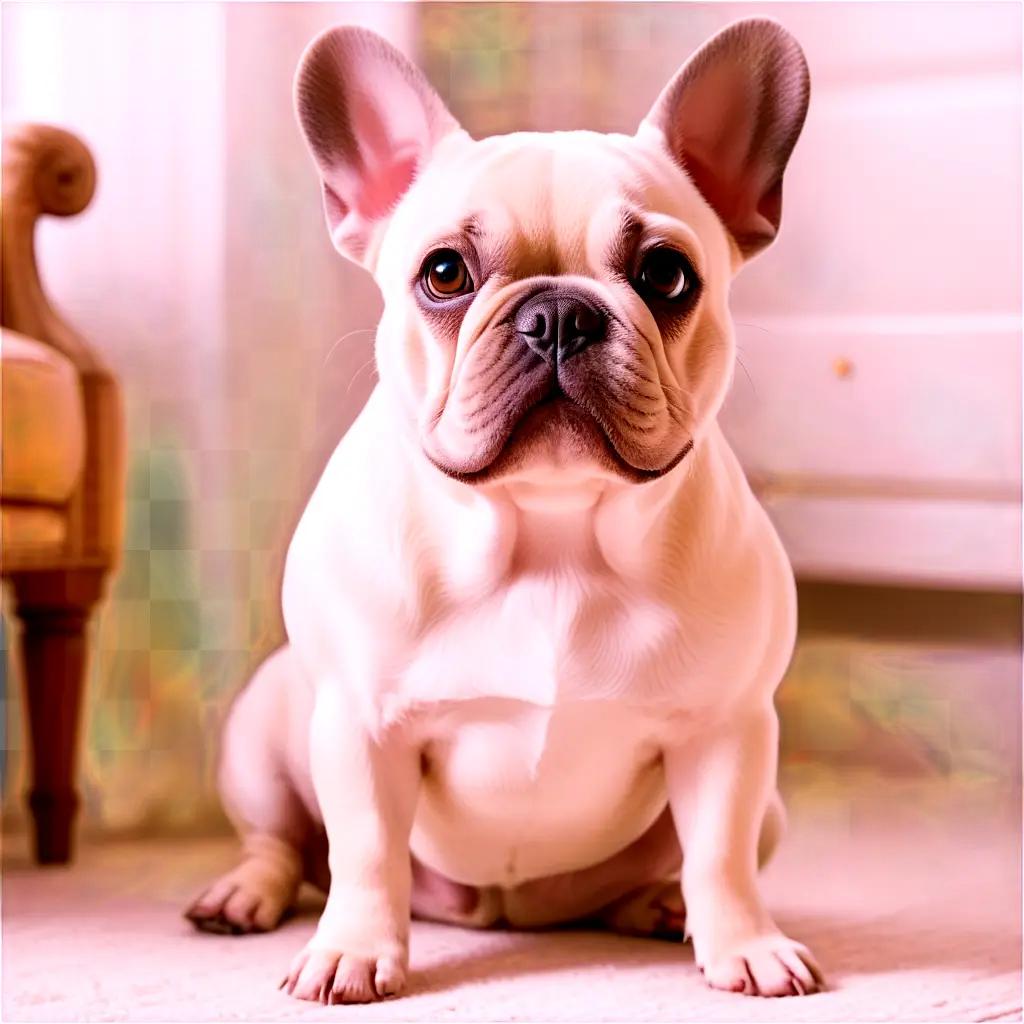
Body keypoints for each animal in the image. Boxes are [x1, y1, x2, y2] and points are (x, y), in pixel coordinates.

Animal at [186, 19, 823, 1003]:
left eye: (666, 275)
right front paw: (355, 951)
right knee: (284, 844)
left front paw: (747, 946)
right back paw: (244, 896)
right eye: (444, 274)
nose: (559, 314)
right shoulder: (360, 728)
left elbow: (720, 854)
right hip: (260, 732)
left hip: (770, 804)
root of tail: (509, 912)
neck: (548, 528)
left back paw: (658, 907)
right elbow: (364, 853)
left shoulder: (729, 731)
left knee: (680, 865)